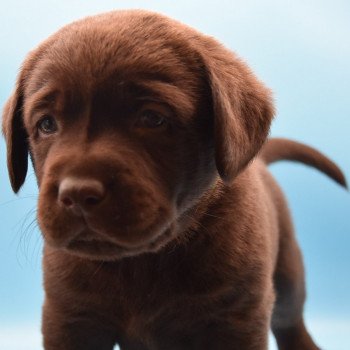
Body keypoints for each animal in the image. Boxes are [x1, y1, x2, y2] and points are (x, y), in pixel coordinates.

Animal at [2, 9, 348, 350]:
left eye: (152, 118)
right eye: (47, 124)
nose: (77, 194)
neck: (140, 263)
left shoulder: (237, 314)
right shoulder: (69, 315)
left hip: (288, 268)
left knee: (290, 320)